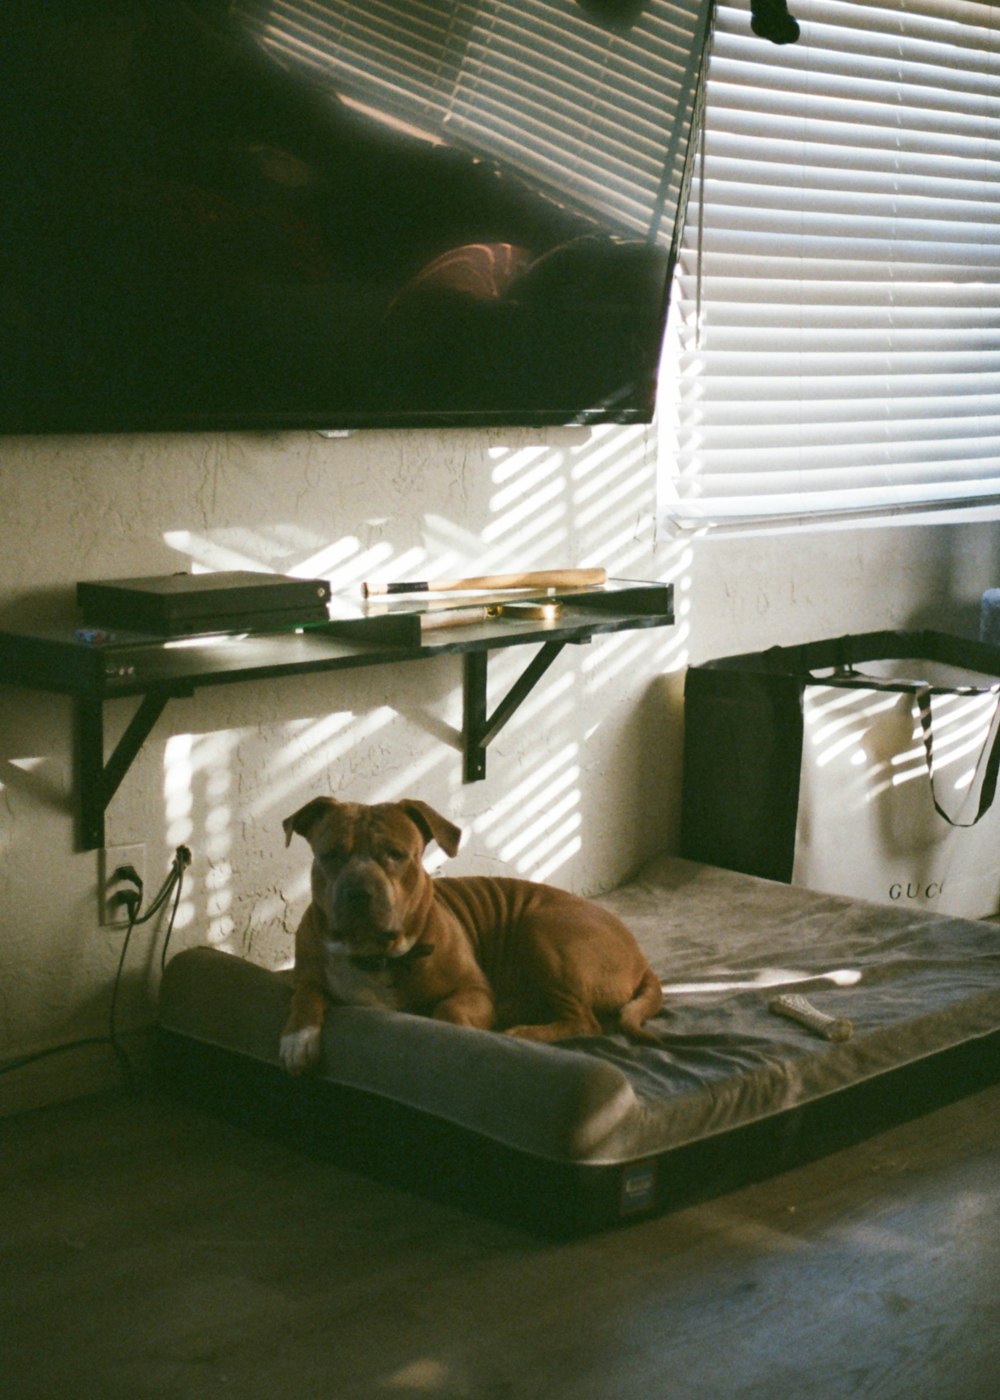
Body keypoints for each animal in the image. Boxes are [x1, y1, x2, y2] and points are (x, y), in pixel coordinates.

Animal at [275, 795, 658, 1075]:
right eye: (330, 855)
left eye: (395, 854)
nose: (358, 892)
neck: (376, 956)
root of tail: (642, 959)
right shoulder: (304, 974)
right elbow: (306, 994)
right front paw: (298, 1038)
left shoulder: (474, 990)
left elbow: (448, 1009)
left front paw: (463, 1035)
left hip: (541, 930)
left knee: (584, 1021)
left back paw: (525, 1033)